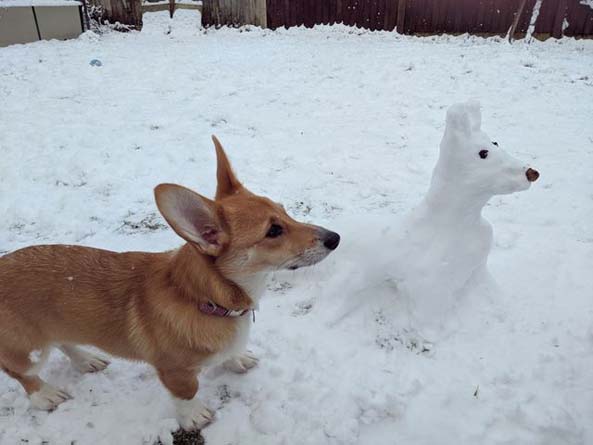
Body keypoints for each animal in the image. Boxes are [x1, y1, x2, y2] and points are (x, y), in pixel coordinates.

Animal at [0, 136, 340, 430]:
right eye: (273, 231)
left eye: (285, 211)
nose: (335, 238)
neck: (209, 299)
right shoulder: (175, 371)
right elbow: (187, 394)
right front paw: (195, 417)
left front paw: (237, 358)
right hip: (25, 351)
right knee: (23, 373)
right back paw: (45, 395)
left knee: (63, 340)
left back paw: (87, 360)